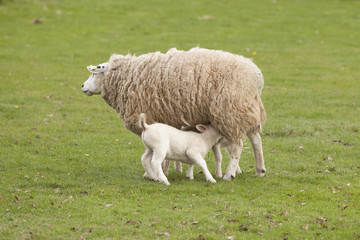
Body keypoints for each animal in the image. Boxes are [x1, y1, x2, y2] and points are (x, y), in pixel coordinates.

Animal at [82, 47, 268, 179]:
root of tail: (257, 77)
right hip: (246, 109)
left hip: (230, 111)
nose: (83, 87)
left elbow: (156, 154)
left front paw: (156, 172)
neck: (126, 77)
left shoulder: (151, 118)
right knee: (256, 140)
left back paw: (229, 174)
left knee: (237, 146)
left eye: (94, 74)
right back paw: (259, 170)